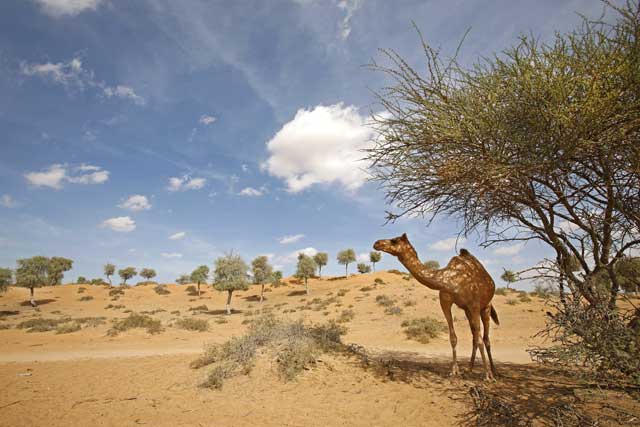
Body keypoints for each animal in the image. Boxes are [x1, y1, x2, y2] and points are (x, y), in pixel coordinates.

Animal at [373, 233, 499, 380]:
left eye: (394, 240)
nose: (376, 243)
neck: (451, 280)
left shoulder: (474, 304)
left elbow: (480, 340)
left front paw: (487, 375)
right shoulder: (446, 302)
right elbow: (453, 338)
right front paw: (454, 371)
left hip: (485, 306)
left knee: (485, 338)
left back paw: (493, 371)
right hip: (467, 311)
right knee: (474, 336)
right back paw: (470, 368)